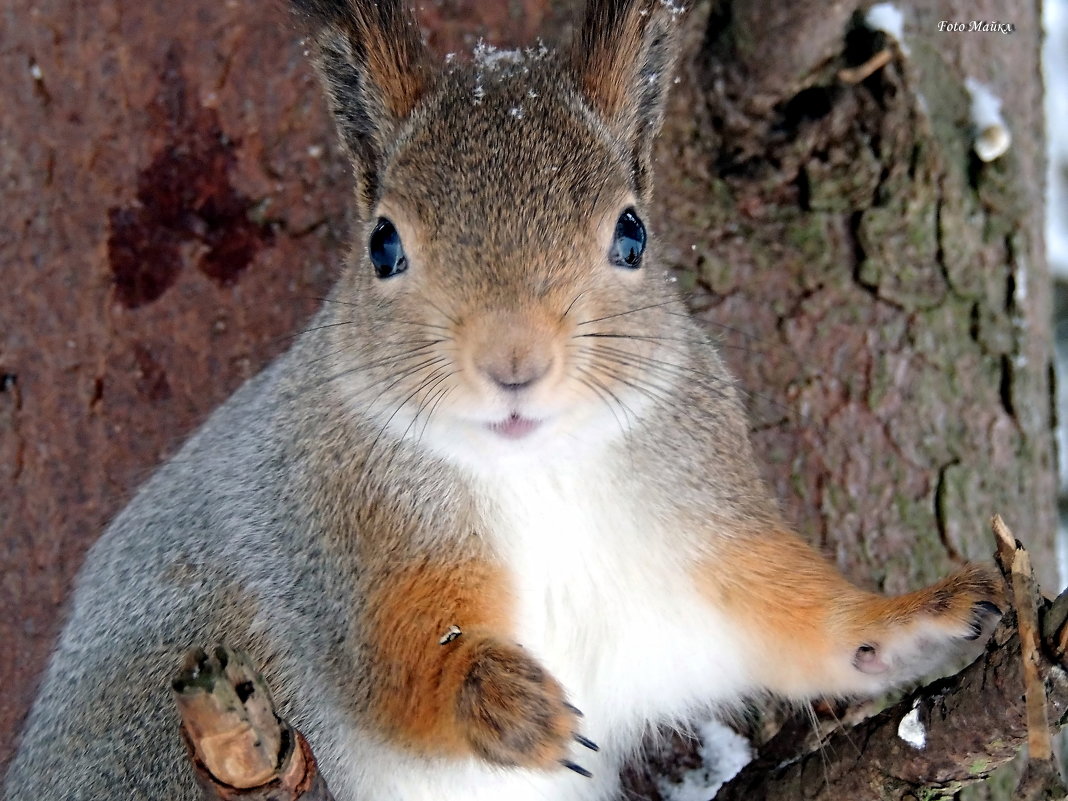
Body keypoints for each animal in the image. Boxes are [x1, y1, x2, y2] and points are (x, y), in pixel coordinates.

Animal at [4, 1, 1003, 801]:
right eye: (383, 245)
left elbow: (795, 619)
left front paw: (919, 619)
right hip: (148, 741)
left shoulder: (698, 538)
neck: (538, 469)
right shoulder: (334, 542)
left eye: (633, 234)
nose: (513, 360)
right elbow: (398, 664)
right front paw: (494, 699)